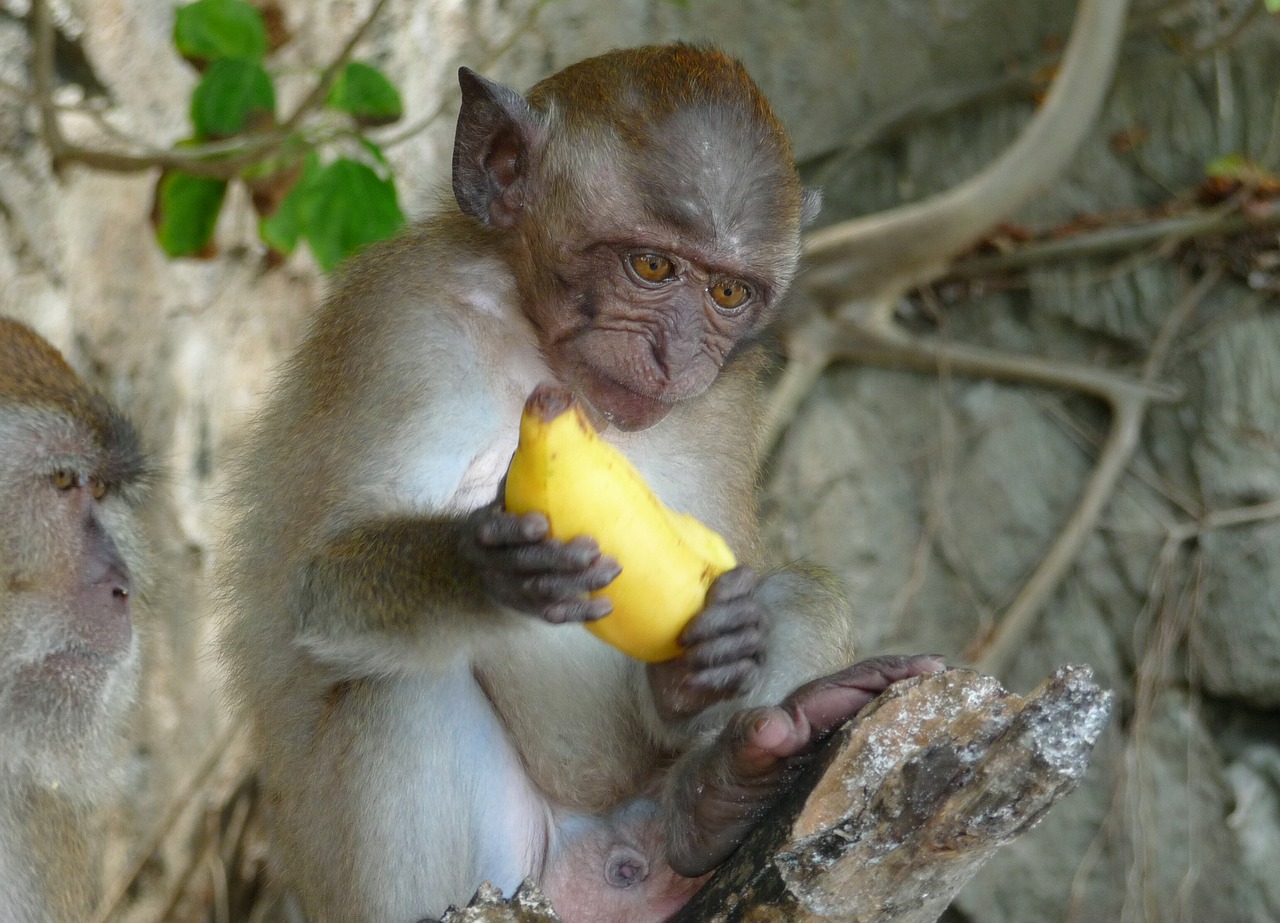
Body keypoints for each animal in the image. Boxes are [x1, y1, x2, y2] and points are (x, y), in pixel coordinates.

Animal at [222, 45, 942, 921]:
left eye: (727, 291)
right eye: (652, 266)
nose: (677, 354)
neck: (544, 352)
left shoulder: (725, 398)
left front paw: (696, 667)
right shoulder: (404, 324)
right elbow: (321, 583)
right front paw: (488, 567)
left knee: (803, 590)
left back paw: (716, 796)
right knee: (400, 688)